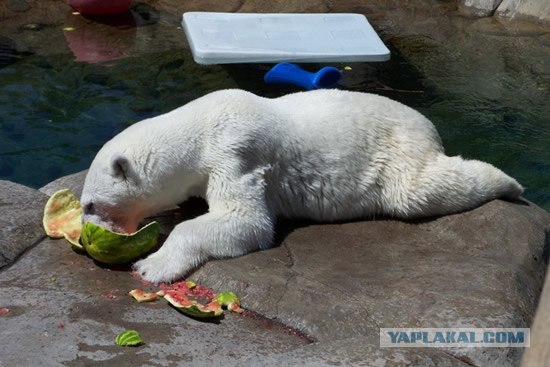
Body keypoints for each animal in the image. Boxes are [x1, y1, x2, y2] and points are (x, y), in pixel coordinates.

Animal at [80, 90, 524, 284]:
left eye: (89, 205)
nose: (88, 232)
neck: (200, 127)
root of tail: (429, 127)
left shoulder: (237, 153)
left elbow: (247, 221)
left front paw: (151, 265)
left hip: (398, 153)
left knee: (420, 191)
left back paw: (510, 184)